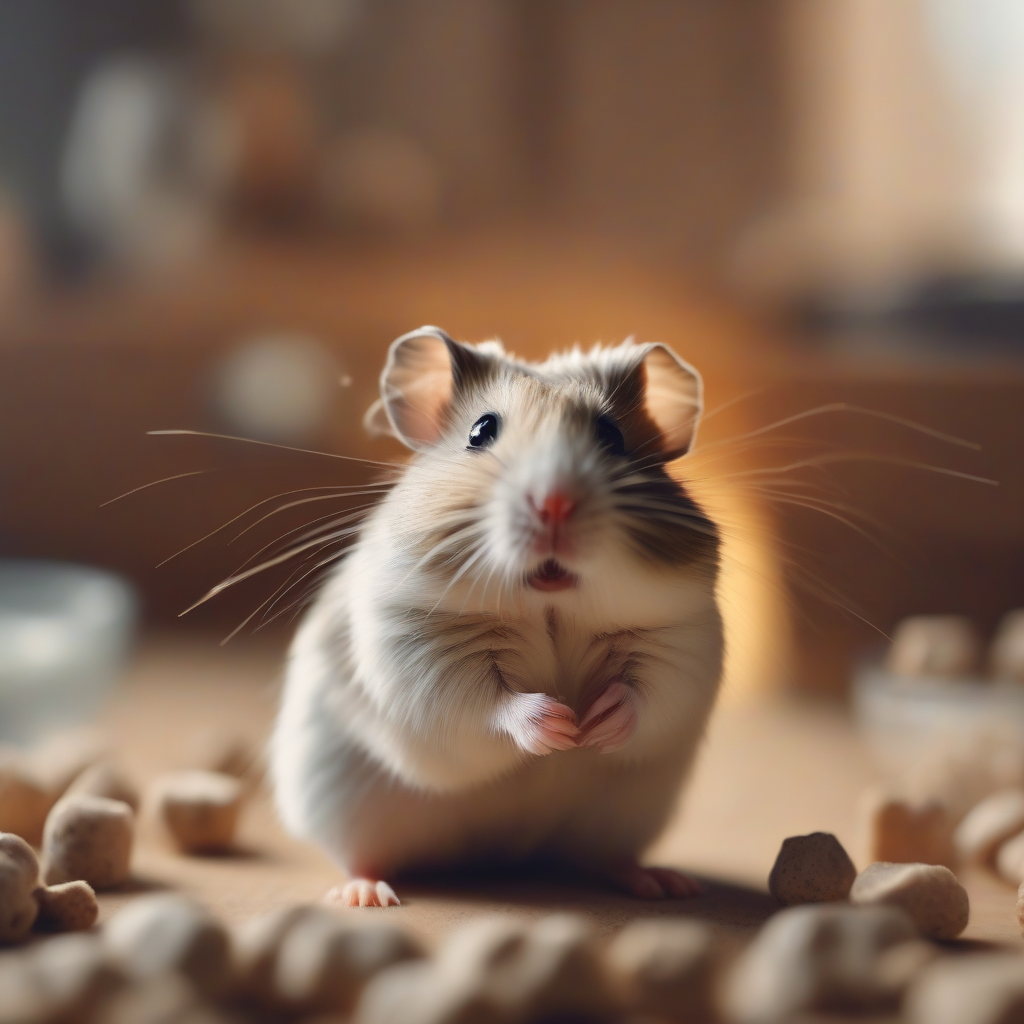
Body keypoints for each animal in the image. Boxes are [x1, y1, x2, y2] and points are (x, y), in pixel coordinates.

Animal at [270, 326, 724, 906]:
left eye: (612, 436)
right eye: (481, 431)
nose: (554, 503)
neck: (551, 604)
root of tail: (505, 856)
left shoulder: (679, 635)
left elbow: (648, 692)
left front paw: (595, 728)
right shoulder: (421, 651)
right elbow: (484, 705)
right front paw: (558, 727)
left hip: (624, 818)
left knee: (604, 857)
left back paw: (662, 883)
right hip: (346, 808)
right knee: (361, 856)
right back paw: (365, 894)